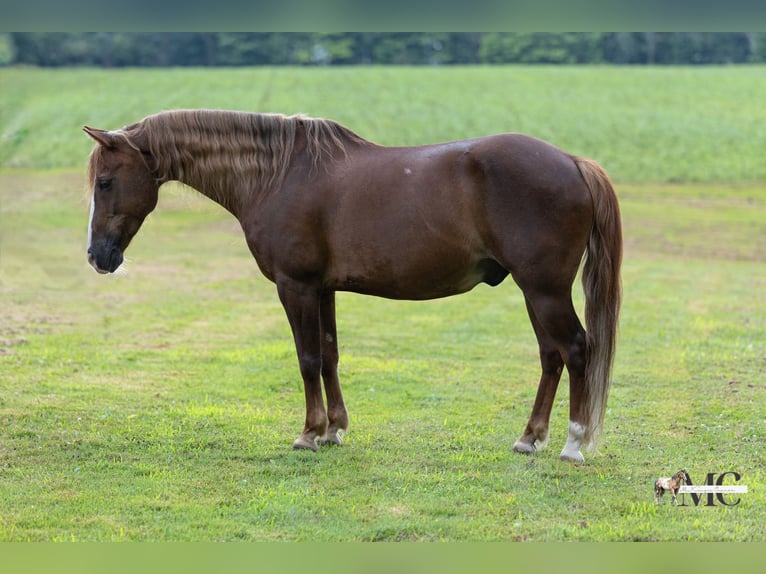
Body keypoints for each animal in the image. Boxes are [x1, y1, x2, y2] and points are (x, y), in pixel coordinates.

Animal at [84, 109, 622, 462]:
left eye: (106, 181)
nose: (97, 257)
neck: (279, 174)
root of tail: (572, 161)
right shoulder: (323, 290)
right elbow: (329, 355)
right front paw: (334, 430)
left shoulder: (295, 287)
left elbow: (306, 359)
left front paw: (308, 433)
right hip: (535, 293)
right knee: (551, 357)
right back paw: (529, 438)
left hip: (544, 291)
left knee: (577, 349)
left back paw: (573, 444)